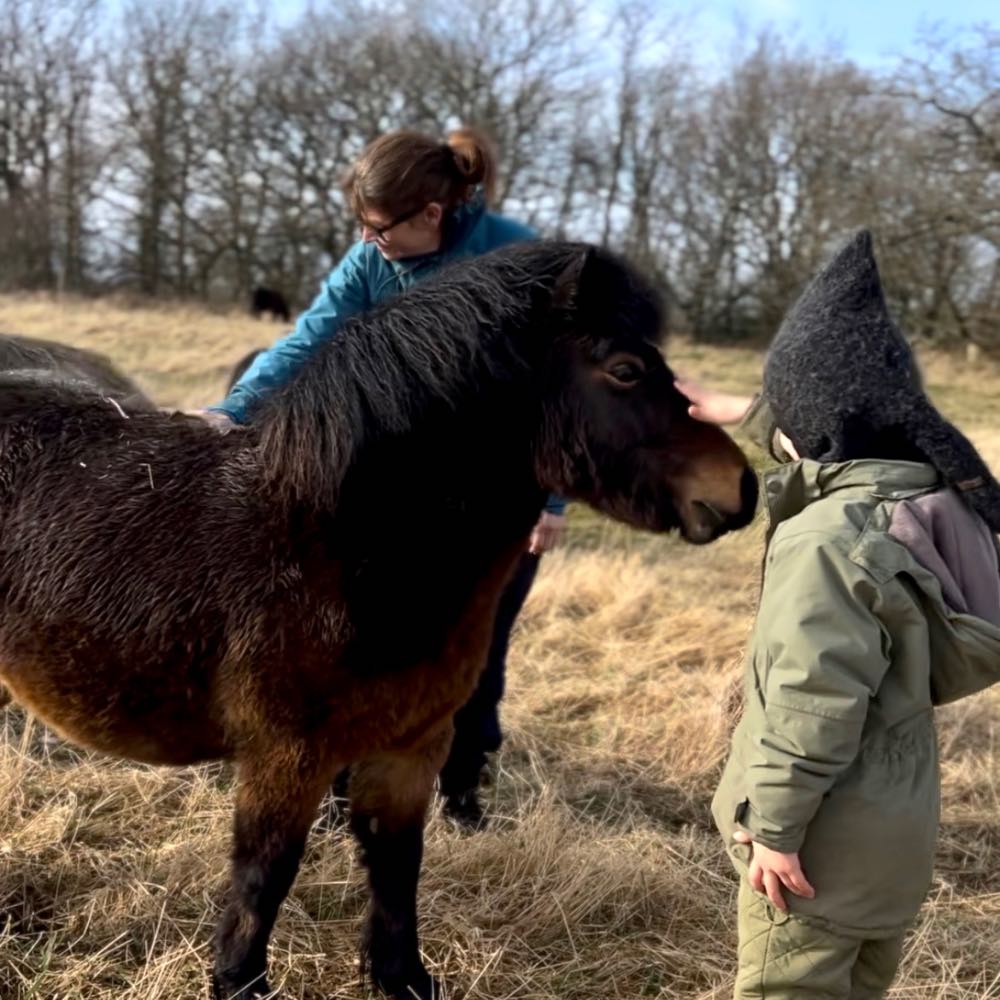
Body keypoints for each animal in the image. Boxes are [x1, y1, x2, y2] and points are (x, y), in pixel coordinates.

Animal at [0, 244, 752, 1000]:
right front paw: (240, 981)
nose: (740, 489)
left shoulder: (412, 745)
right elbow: (265, 872)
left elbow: (397, 864)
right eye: (625, 370)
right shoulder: (287, 754)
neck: (340, 546)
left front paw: (402, 976)